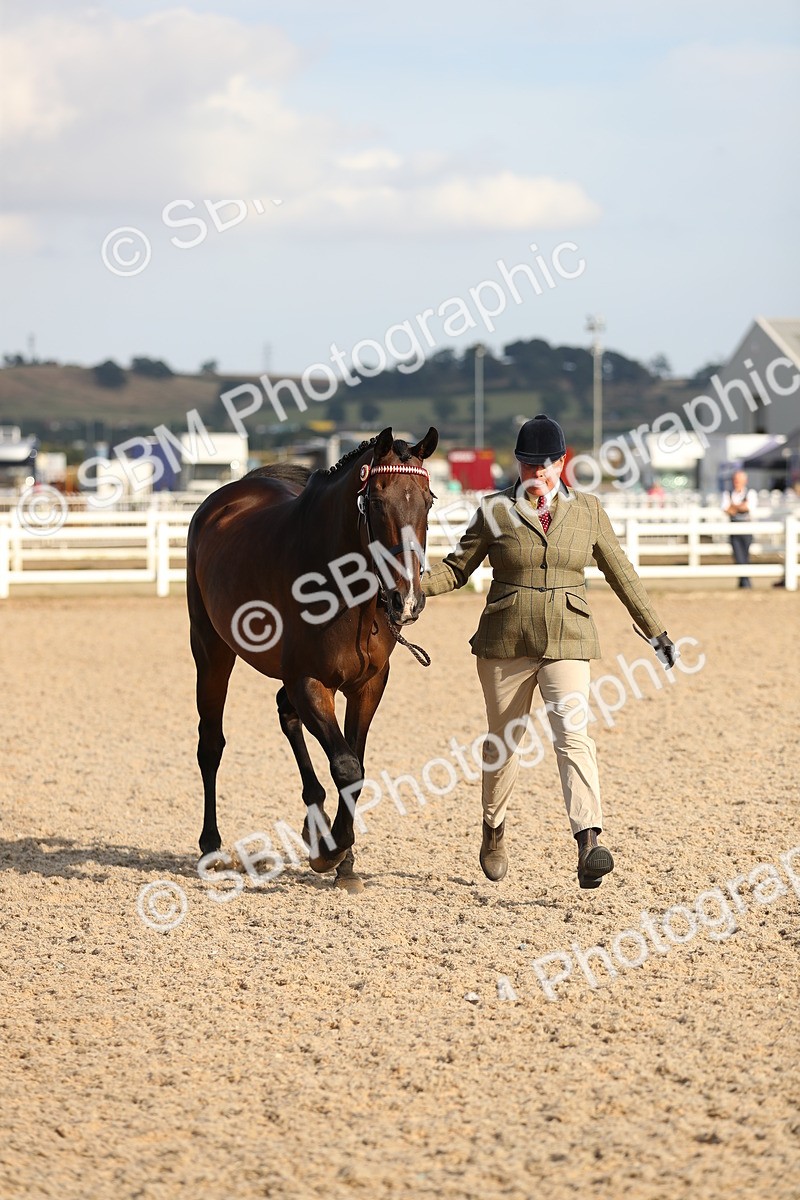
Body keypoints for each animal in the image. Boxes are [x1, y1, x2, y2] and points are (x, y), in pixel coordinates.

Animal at [186, 425, 439, 891]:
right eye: (376, 502)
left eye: (428, 500)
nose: (407, 600)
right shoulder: (309, 681)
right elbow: (346, 765)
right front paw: (332, 851)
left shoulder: (368, 684)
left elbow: (355, 766)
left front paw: (344, 861)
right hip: (211, 651)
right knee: (210, 743)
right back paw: (211, 846)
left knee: (286, 716)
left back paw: (313, 819)